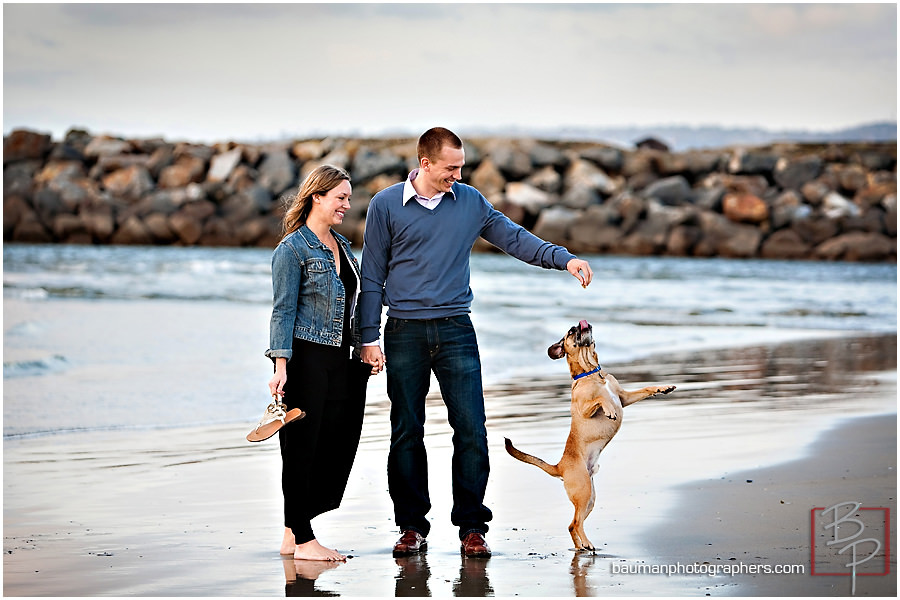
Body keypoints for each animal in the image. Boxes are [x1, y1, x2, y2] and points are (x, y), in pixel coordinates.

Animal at [502, 322, 672, 552]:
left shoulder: (624, 397)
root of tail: (559, 466)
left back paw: (582, 546)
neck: (591, 373)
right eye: (570, 332)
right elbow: (600, 399)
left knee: (574, 523)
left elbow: (645, 389)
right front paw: (609, 410)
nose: (580, 324)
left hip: (590, 498)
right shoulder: (585, 409)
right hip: (583, 491)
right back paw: (586, 544)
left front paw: (662, 388)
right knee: (574, 523)